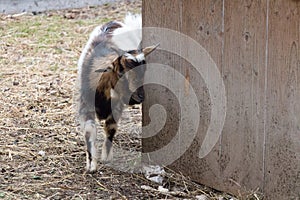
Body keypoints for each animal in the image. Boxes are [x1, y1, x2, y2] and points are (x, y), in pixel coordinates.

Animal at [77, 14, 157, 173]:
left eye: (145, 70)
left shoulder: (117, 106)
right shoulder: (85, 105)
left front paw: (106, 157)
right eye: (120, 72)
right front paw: (91, 164)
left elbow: (111, 128)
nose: (140, 97)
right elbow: (89, 131)